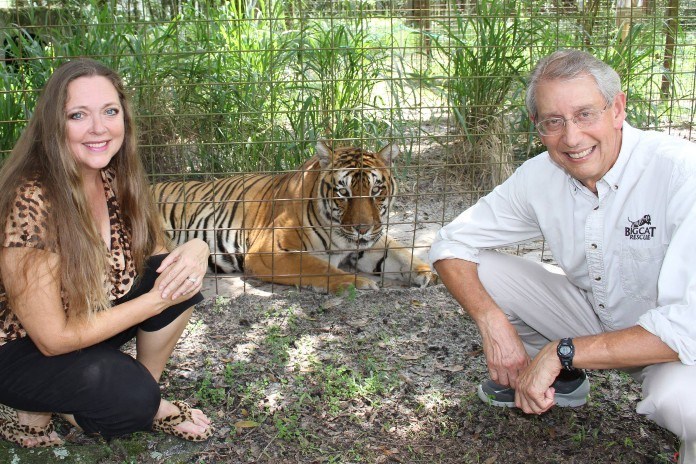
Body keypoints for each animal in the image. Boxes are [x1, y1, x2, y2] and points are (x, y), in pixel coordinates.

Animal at [151, 141, 436, 293]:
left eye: (375, 190)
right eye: (343, 192)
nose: (362, 228)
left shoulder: (369, 243)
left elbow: (400, 253)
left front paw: (426, 272)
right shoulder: (270, 251)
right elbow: (319, 267)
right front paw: (358, 282)